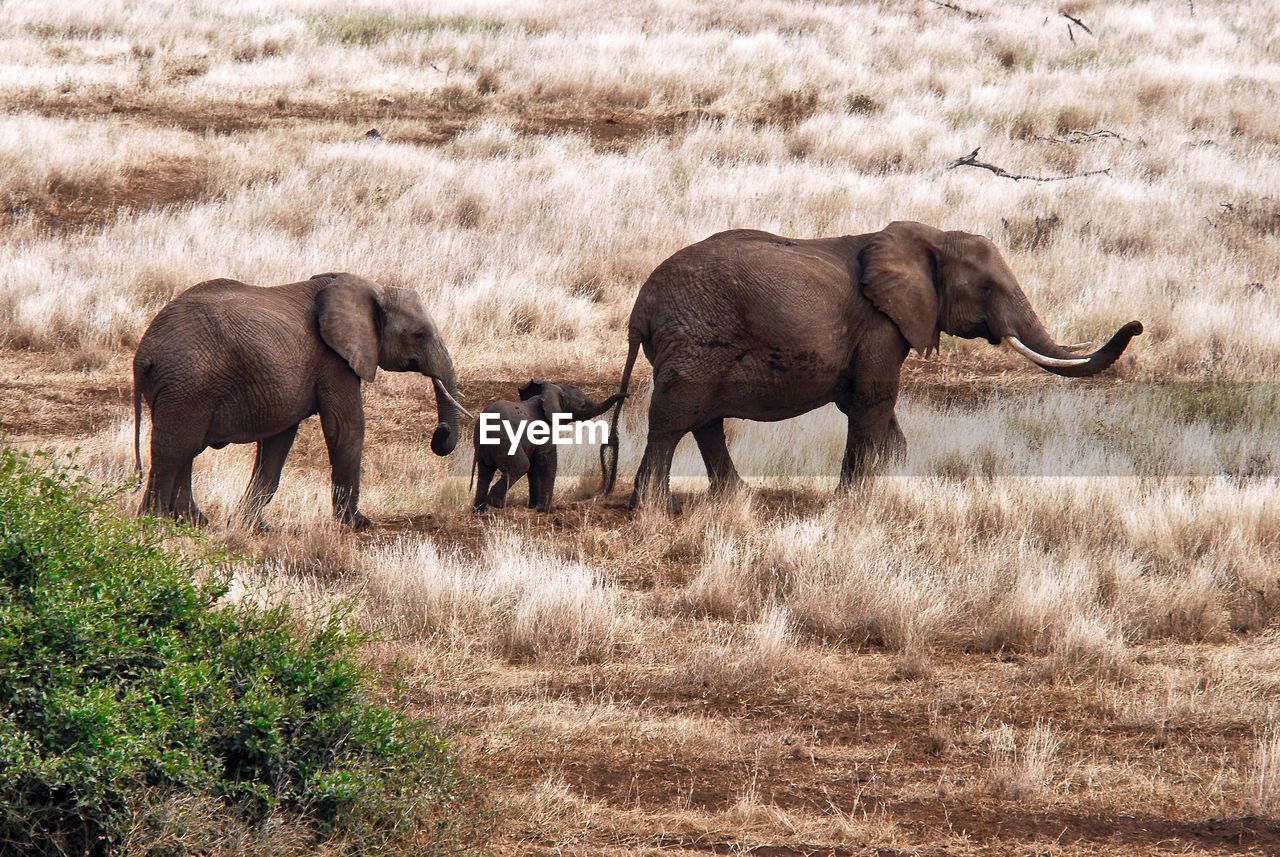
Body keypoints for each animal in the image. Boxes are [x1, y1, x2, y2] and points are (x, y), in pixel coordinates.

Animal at [132, 275, 473, 529]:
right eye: (420, 334)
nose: (441, 433)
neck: (374, 287)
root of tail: (143, 353)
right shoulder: (333, 359)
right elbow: (345, 428)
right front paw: (357, 524)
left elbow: (278, 442)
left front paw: (254, 527)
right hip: (188, 384)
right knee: (175, 448)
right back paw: (156, 524)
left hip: (186, 388)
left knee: (186, 450)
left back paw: (194, 523)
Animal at [476, 378, 624, 514]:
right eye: (582, 405)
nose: (626, 394)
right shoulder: (544, 429)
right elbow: (545, 460)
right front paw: (546, 510)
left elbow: (534, 466)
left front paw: (533, 507)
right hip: (504, 441)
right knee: (520, 467)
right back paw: (497, 505)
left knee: (485, 472)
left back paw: (479, 511)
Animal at [604, 218, 1146, 511]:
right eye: (987, 287)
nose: (1137, 325)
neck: (930, 237)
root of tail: (640, 308)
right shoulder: (882, 323)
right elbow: (873, 397)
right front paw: (854, 500)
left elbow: (870, 404)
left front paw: (894, 477)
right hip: (696, 338)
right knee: (675, 417)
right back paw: (651, 508)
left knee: (705, 419)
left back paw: (739, 498)